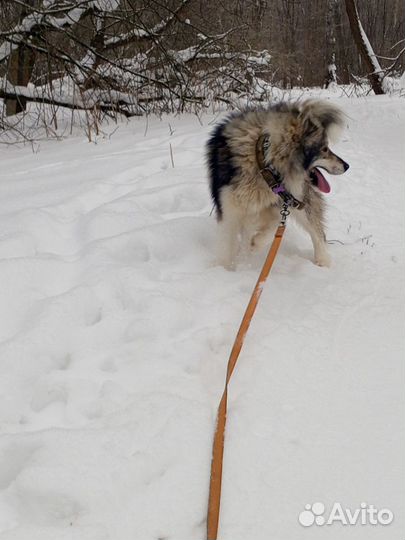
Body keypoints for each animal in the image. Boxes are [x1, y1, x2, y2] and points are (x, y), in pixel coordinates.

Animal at [207, 100, 348, 268]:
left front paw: (255, 245)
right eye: (324, 149)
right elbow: (227, 246)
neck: (261, 163)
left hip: (300, 199)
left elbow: (274, 225)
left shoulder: (281, 200)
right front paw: (224, 268)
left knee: (316, 228)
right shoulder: (230, 211)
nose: (347, 166)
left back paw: (323, 261)